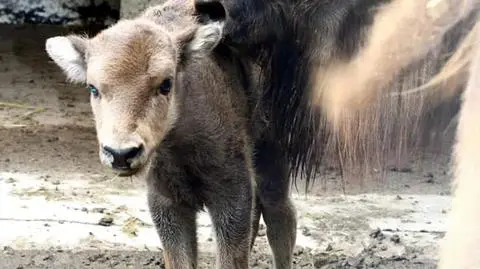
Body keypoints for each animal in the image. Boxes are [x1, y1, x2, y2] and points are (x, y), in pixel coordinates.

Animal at [44, 1, 296, 266]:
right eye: (93, 88)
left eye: (166, 84)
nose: (121, 153)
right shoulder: (166, 202)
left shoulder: (232, 193)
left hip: (273, 159)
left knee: (280, 217)